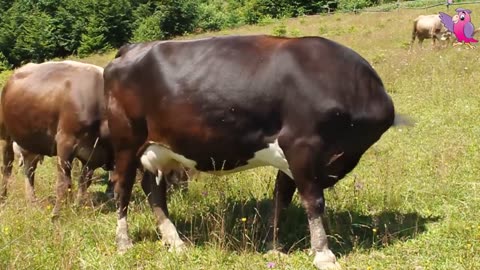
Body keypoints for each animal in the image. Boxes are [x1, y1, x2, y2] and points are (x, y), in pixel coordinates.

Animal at [0, 60, 114, 214]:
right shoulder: (65, 142)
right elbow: (63, 182)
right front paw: (57, 214)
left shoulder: (92, 154)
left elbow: (83, 182)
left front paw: (75, 206)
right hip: (6, 136)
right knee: (6, 167)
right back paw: (3, 199)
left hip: (32, 141)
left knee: (29, 170)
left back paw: (32, 202)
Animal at [103, 34, 410, 268]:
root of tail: (132, 48)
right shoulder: (302, 146)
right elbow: (313, 202)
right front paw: (323, 254)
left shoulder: (291, 158)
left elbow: (281, 199)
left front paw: (274, 246)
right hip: (126, 143)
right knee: (122, 189)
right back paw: (123, 242)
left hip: (158, 149)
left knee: (153, 190)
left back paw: (175, 241)